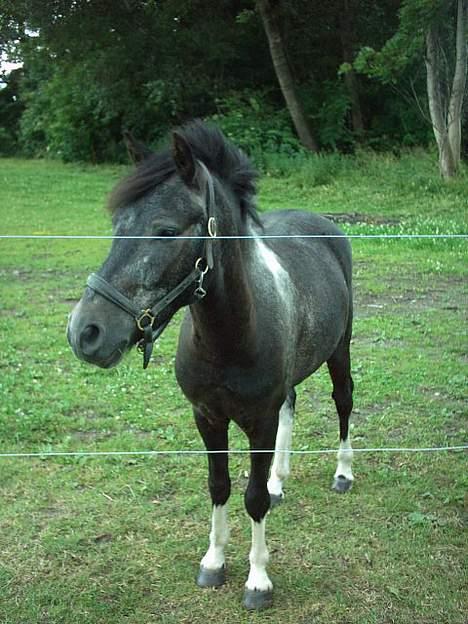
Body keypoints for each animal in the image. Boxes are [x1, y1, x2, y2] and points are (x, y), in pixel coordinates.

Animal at [66, 120, 354, 608]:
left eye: (165, 230)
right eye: (117, 224)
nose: (85, 332)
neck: (229, 338)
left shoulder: (258, 421)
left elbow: (252, 498)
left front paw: (258, 581)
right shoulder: (207, 417)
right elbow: (219, 486)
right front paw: (214, 562)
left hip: (341, 349)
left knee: (343, 400)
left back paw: (343, 473)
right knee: (292, 403)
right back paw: (279, 481)